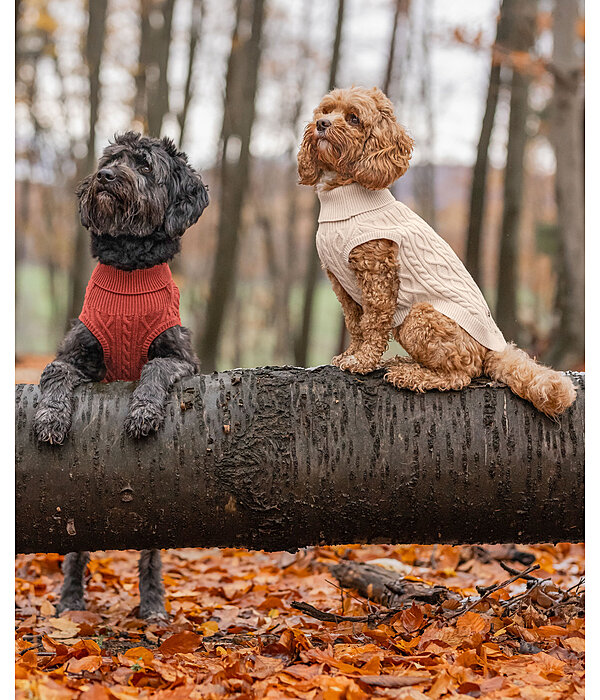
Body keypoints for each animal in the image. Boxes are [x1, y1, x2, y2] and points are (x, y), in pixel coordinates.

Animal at [34, 131, 211, 616]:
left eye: (145, 166)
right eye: (109, 160)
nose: (108, 176)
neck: (130, 267)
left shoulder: (181, 357)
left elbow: (154, 368)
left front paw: (143, 413)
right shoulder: (75, 354)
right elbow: (54, 375)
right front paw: (50, 418)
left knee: (151, 548)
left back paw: (152, 604)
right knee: (76, 544)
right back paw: (71, 599)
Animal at [298, 85, 576, 418]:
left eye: (353, 118)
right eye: (326, 111)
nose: (321, 124)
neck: (344, 193)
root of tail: (491, 348)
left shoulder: (378, 276)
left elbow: (373, 324)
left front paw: (362, 362)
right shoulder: (342, 285)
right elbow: (355, 324)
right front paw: (350, 354)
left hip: (419, 317)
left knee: (460, 375)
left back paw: (410, 374)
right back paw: (405, 363)